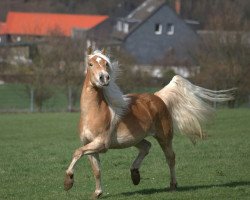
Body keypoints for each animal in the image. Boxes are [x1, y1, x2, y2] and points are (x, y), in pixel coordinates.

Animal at [63, 47, 235, 198]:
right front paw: (97, 193)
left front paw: (68, 182)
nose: (104, 78)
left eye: (106, 64)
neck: (94, 113)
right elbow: (96, 170)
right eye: (90, 64)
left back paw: (172, 185)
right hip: (134, 139)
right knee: (146, 146)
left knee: (170, 157)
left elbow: (77, 152)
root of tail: (158, 97)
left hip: (164, 137)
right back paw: (135, 174)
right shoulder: (90, 145)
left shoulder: (101, 144)